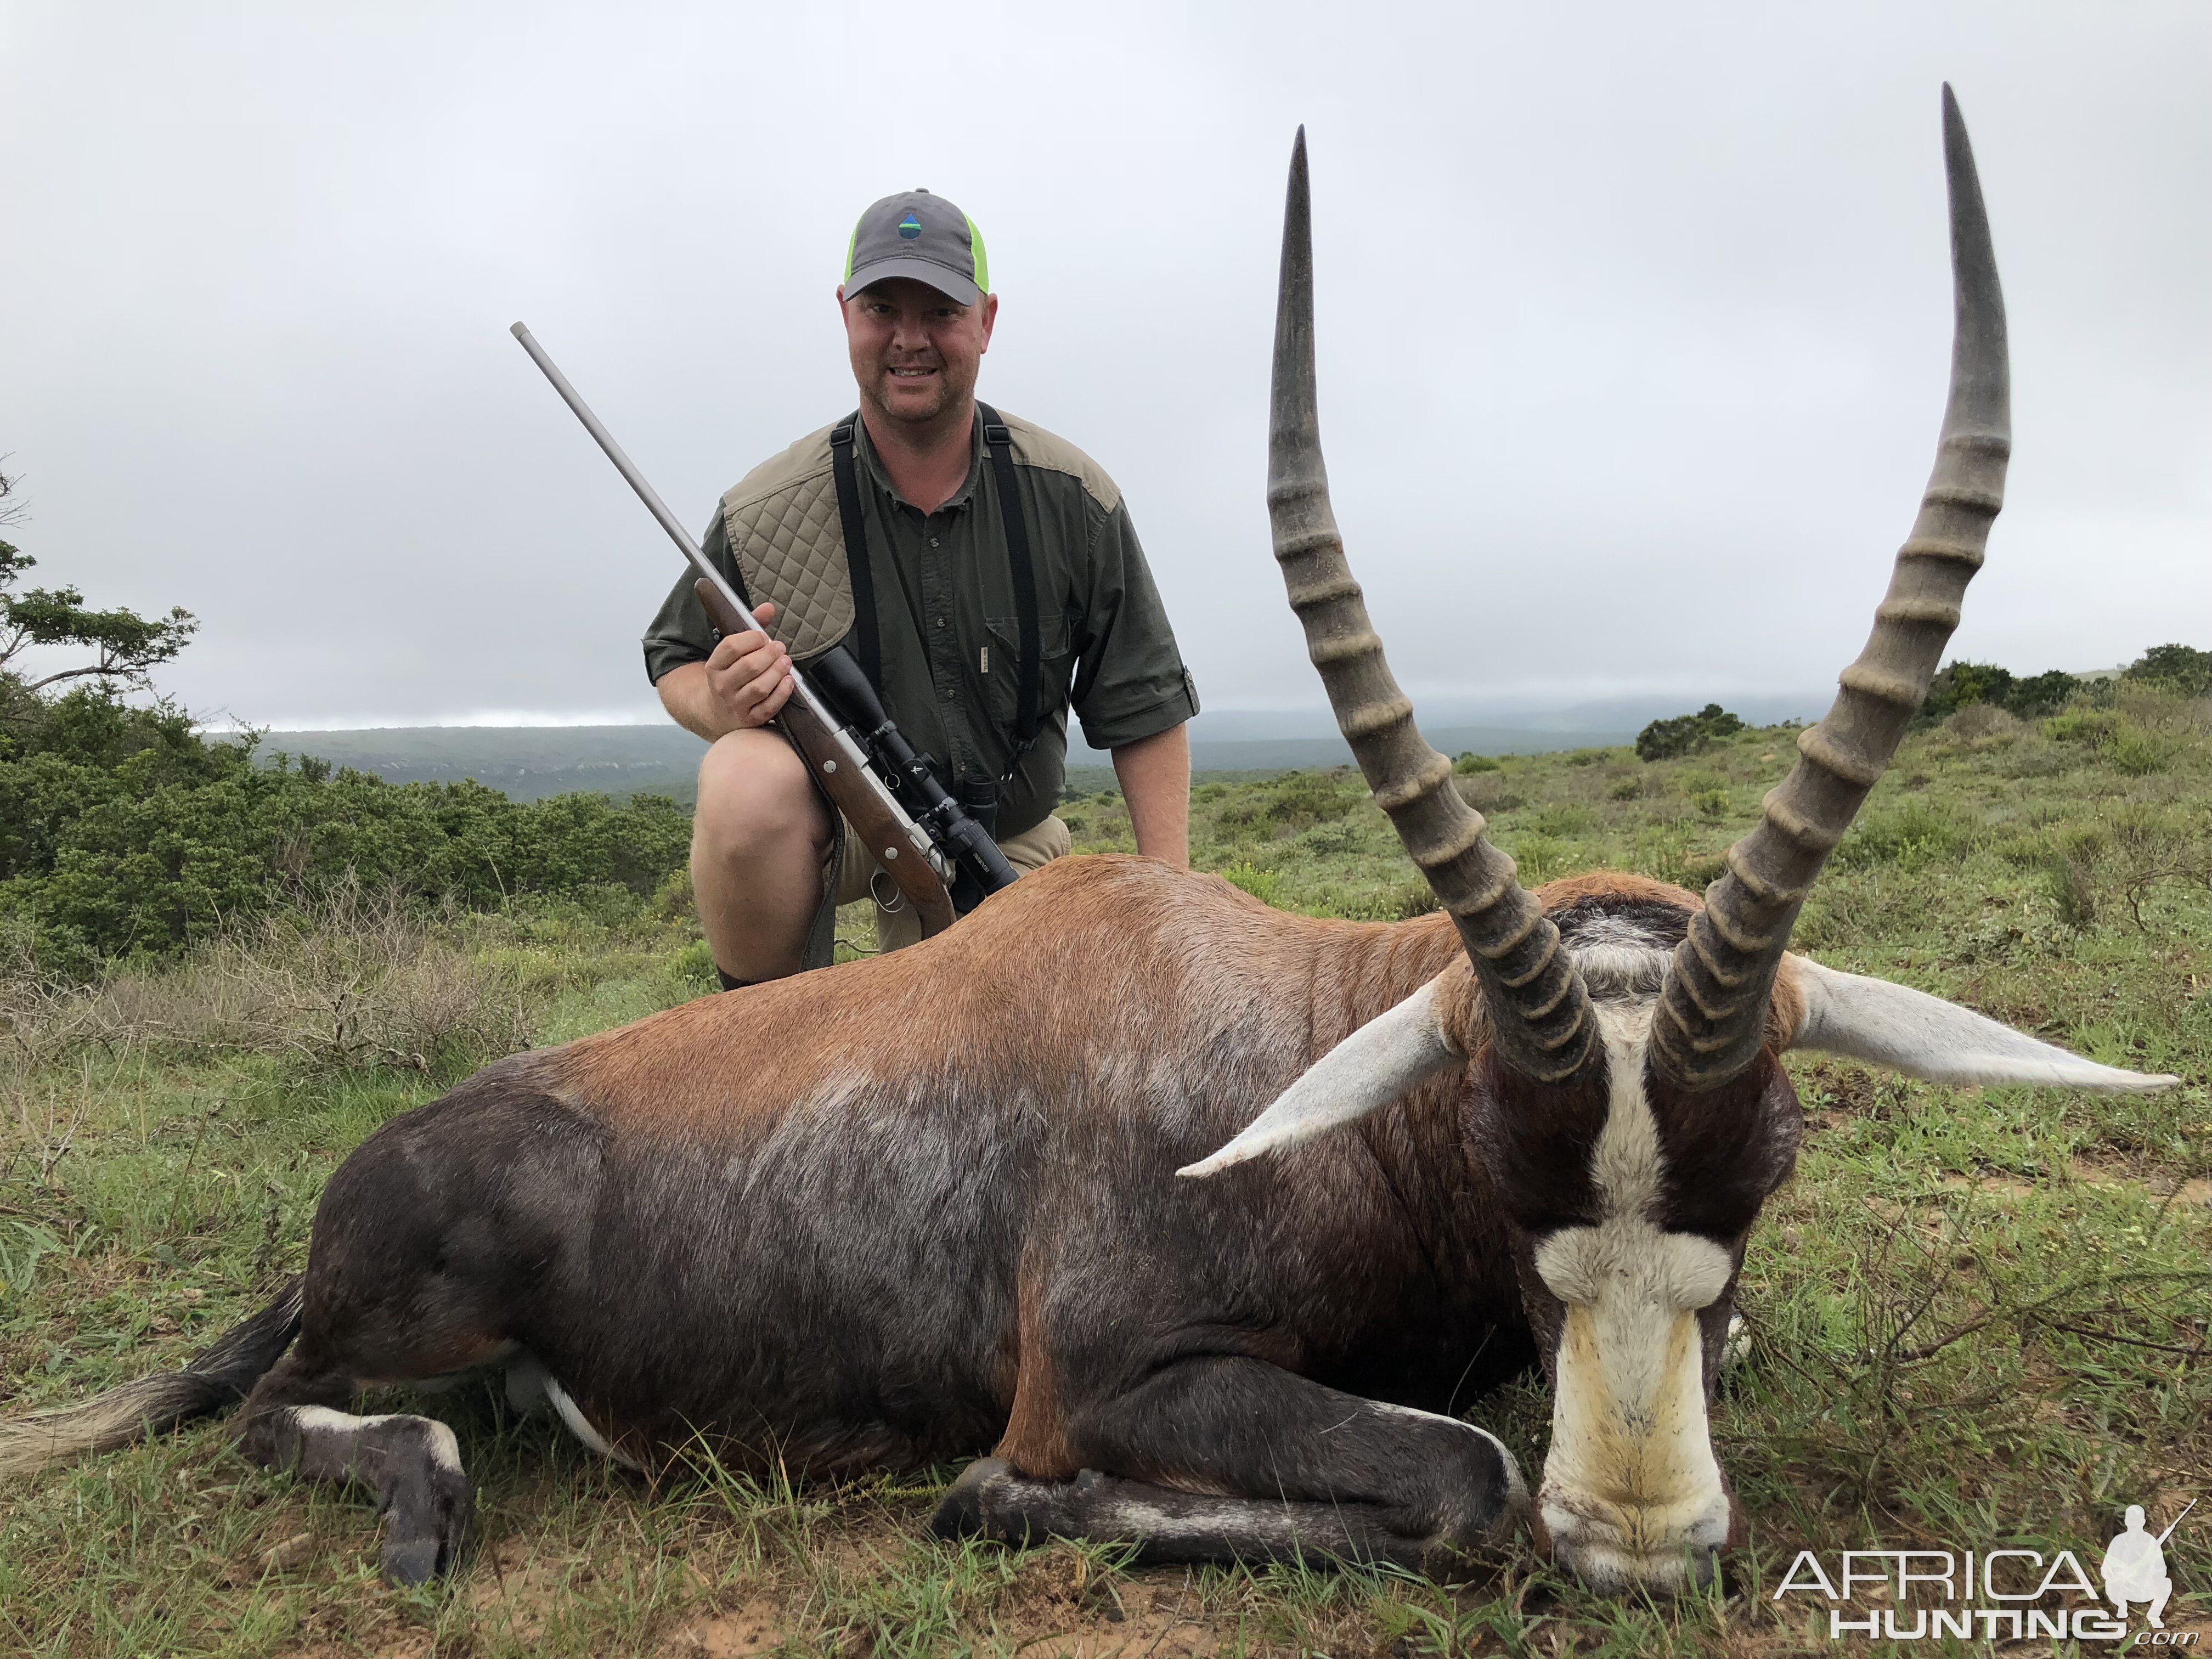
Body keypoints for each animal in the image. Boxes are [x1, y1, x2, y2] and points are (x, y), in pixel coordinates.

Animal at [0, 94, 2176, 1601]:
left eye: (1778, 1151)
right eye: (1495, 1140)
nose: (1636, 1542)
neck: (1280, 1032)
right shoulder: (1118, 1373)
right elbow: (1456, 1471)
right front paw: (992, 1493)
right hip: (413, 1315)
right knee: (291, 1408)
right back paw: (423, 1499)